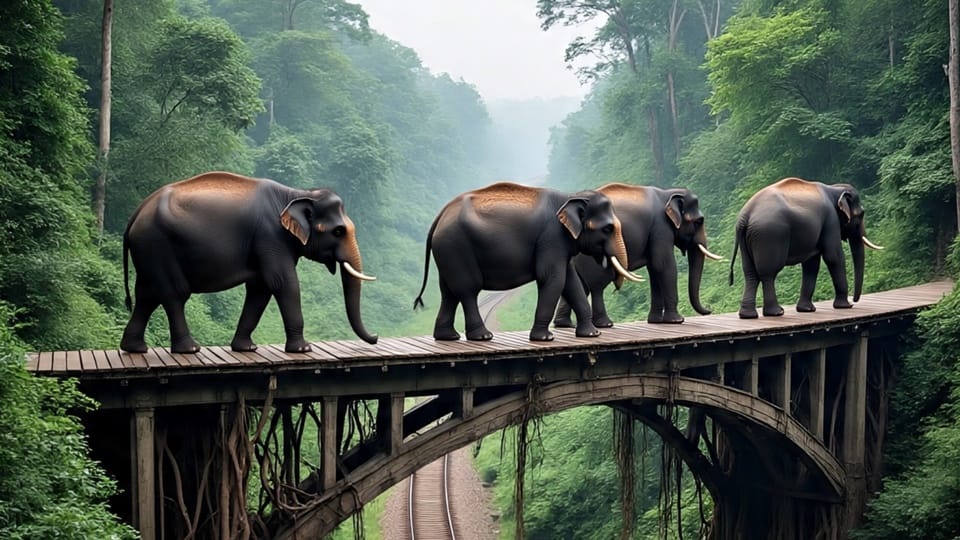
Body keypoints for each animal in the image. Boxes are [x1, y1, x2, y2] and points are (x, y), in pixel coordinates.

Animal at [119, 171, 378, 354]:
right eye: (338, 231)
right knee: (174, 293)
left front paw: (246, 348)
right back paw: (190, 349)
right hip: (157, 244)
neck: (295, 193)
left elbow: (260, 289)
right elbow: (282, 282)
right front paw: (304, 349)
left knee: (147, 294)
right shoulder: (270, 236)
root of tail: (135, 213)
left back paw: (135, 348)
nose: (375, 337)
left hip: (148, 252)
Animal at [412, 182, 643, 342]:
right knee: (467, 290)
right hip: (456, 247)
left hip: (448, 252)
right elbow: (552, 278)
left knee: (448, 292)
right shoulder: (551, 237)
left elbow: (570, 281)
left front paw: (592, 334)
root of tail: (440, 216)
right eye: (608, 228)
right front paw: (545, 338)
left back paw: (448, 337)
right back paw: (483, 337)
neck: (570, 196)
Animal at [554, 183, 723, 328]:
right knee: (597, 285)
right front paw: (676, 320)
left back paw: (564, 324)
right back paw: (605, 324)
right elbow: (663, 265)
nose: (710, 308)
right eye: (699, 221)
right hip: (591, 255)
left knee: (582, 284)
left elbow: (654, 269)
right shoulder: (661, 228)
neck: (667, 193)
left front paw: (656, 321)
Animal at [730, 177, 884, 319]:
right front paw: (845, 306)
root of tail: (745, 215)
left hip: (748, 240)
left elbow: (811, 264)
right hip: (769, 234)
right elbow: (833, 256)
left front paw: (807, 309)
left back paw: (748, 315)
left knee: (750, 273)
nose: (854, 300)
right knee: (768, 272)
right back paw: (776, 312)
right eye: (861, 214)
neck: (833, 188)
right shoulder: (830, 219)